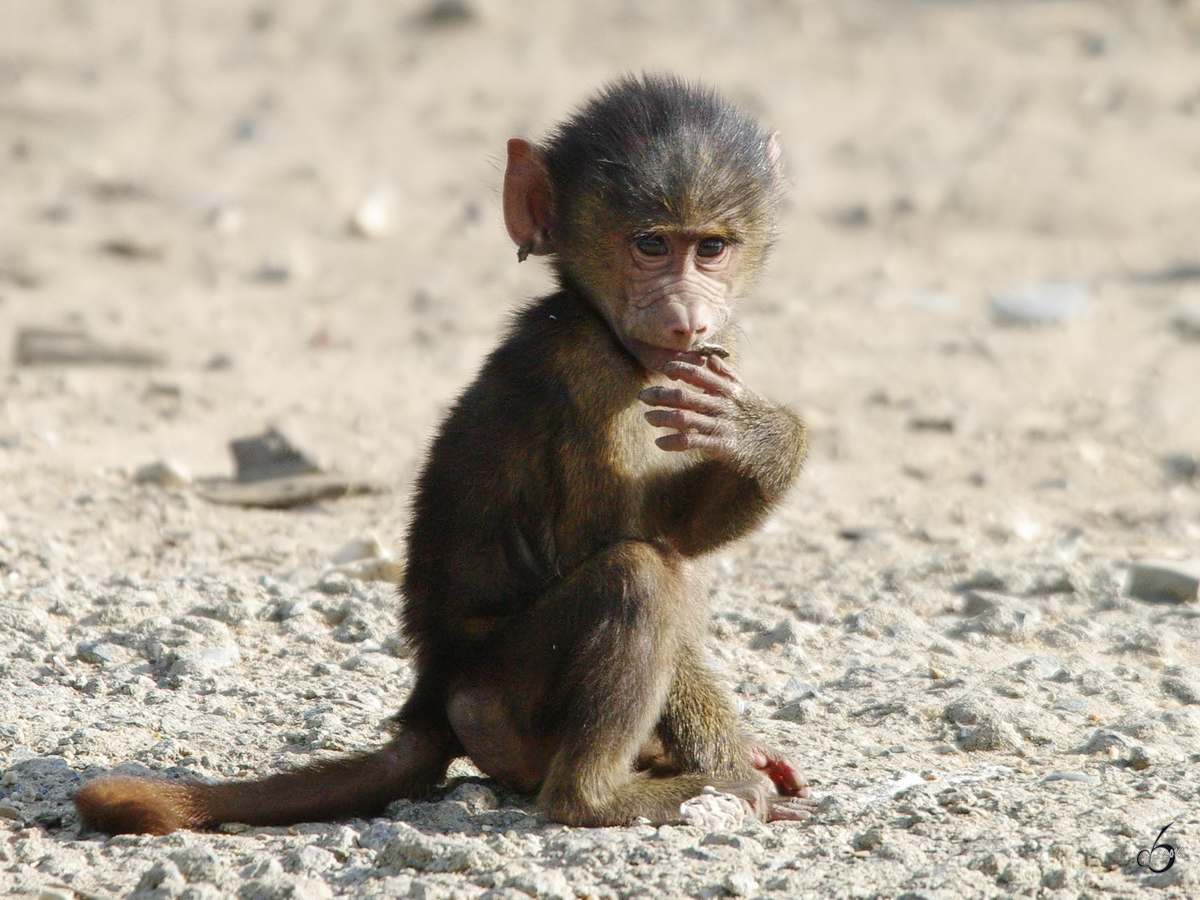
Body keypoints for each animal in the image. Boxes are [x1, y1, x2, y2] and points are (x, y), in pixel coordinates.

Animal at [72, 75, 816, 840]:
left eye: (711, 248)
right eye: (651, 244)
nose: (687, 318)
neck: (593, 318)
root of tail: (432, 695)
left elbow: (682, 531)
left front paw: (761, 436)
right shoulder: (590, 374)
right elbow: (637, 538)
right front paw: (735, 765)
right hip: (503, 691)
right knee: (637, 573)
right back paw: (609, 796)